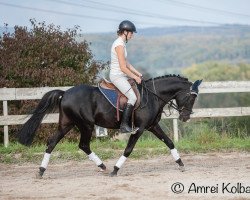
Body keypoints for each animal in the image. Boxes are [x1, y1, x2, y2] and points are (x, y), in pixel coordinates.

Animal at [17, 74, 202, 177]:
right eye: (191, 97)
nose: (185, 117)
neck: (152, 96)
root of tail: (65, 93)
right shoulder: (139, 129)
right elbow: (128, 149)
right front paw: (115, 169)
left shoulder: (152, 126)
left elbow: (169, 142)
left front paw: (181, 164)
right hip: (86, 125)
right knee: (83, 145)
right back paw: (104, 166)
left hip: (67, 124)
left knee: (52, 143)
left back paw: (42, 170)